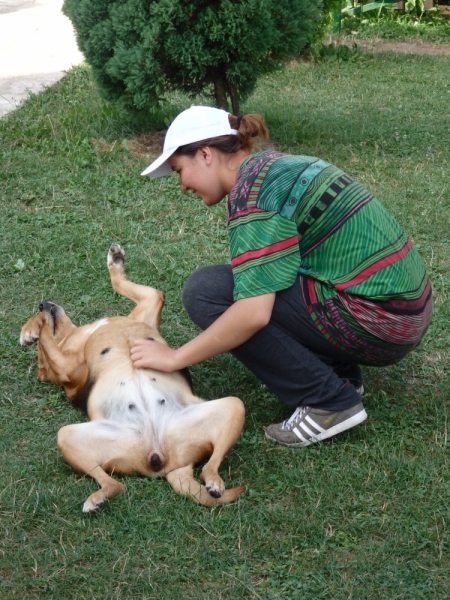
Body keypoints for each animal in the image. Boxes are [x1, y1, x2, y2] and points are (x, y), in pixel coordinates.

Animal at [20, 244, 246, 510]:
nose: (42, 303)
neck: (79, 334)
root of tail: (168, 463)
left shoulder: (150, 301)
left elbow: (123, 284)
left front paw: (115, 260)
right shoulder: (67, 369)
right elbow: (45, 335)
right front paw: (31, 330)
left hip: (233, 406)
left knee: (208, 464)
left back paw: (213, 481)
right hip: (67, 436)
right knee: (115, 483)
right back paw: (98, 498)